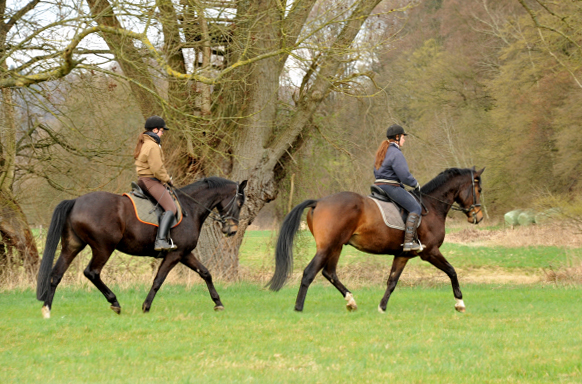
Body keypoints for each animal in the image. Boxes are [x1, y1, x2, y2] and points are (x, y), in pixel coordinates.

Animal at [36, 177, 246, 318]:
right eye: (239, 202)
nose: (232, 230)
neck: (190, 208)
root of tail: (76, 202)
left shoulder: (184, 253)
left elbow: (205, 273)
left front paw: (218, 303)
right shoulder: (175, 254)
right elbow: (158, 280)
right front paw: (146, 306)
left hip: (73, 246)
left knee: (56, 274)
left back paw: (47, 309)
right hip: (104, 247)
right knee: (92, 272)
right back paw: (115, 303)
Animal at [270, 167, 488, 312]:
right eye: (478, 189)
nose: (478, 216)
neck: (432, 206)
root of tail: (319, 202)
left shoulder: (403, 255)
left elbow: (392, 281)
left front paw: (382, 307)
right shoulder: (430, 252)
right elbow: (452, 271)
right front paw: (460, 303)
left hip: (336, 247)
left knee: (329, 273)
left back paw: (351, 301)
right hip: (327, 247)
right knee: (309, 272)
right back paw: (299, 308)